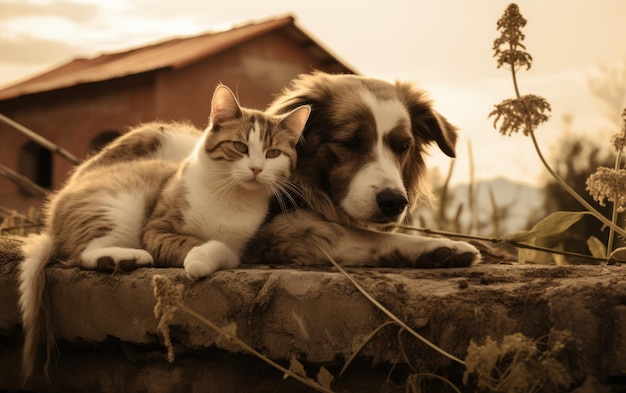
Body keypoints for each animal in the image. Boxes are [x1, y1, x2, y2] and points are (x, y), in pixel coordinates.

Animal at [18, 83, 310, 380]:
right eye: (239, 147)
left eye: (272, 154)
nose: (256, 169)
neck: (232, 197)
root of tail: (53, 212)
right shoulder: (157, 231)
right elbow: (199, 243)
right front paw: (198, 260)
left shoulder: (240, 245)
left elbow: (225, 248)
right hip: (118, 205)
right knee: (82, 252)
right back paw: (126, 258)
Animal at [244, 70, 478, 266]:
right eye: (349, 142)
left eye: (403, 146)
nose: (394, 202)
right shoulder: (278, 229)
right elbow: (360, 234)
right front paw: (434, 245)